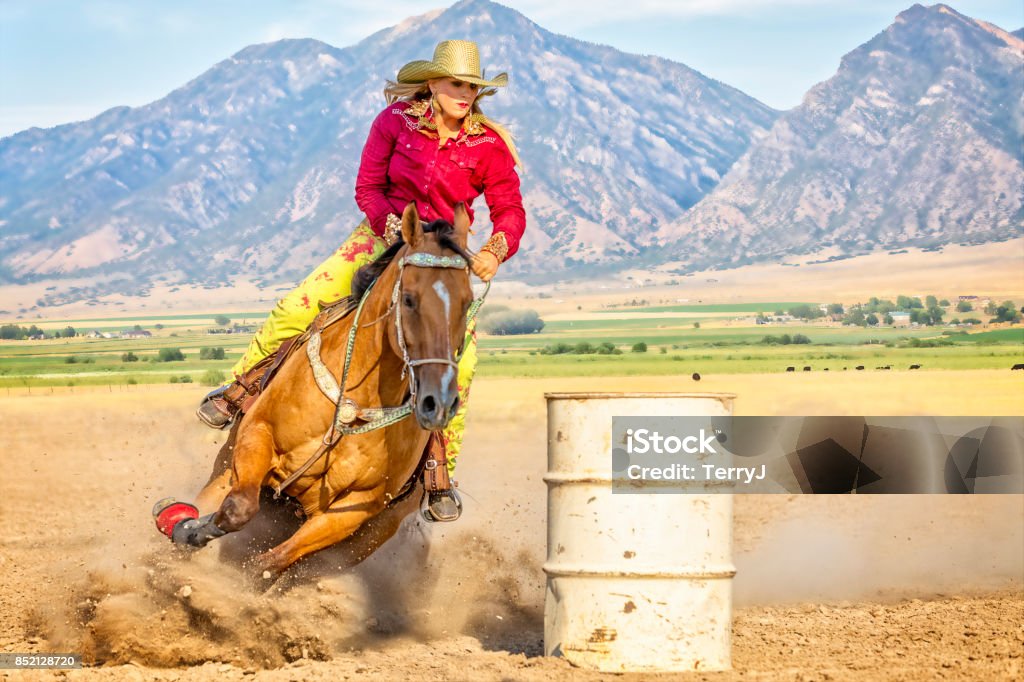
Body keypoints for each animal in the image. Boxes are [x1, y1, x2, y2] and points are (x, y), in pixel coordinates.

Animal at [153, 202, 473, 577]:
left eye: (467, 302)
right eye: (409, 299)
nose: (438, 402)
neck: (351, 405)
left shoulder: (353, 511)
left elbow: (267, 565)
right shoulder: (257, 435)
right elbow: (237, 509)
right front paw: (181, 527)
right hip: (227, 462)